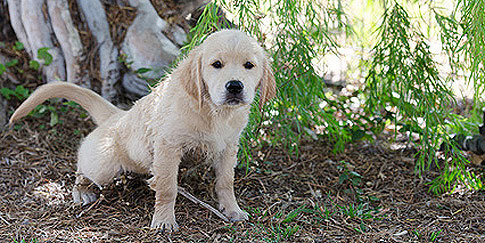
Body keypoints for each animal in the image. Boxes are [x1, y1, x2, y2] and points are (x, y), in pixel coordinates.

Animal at [9, 29, 276, 233]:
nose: (235, 86)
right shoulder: (168, 147)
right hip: (103, 167)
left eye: (249, 65)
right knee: (82, 170)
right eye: (216, 65)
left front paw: (232, 210)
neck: (214, 113)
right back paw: (82, 192)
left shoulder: (228, 148)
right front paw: (164, 221)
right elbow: (167, 188)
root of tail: (116, 116)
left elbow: (226, 182)